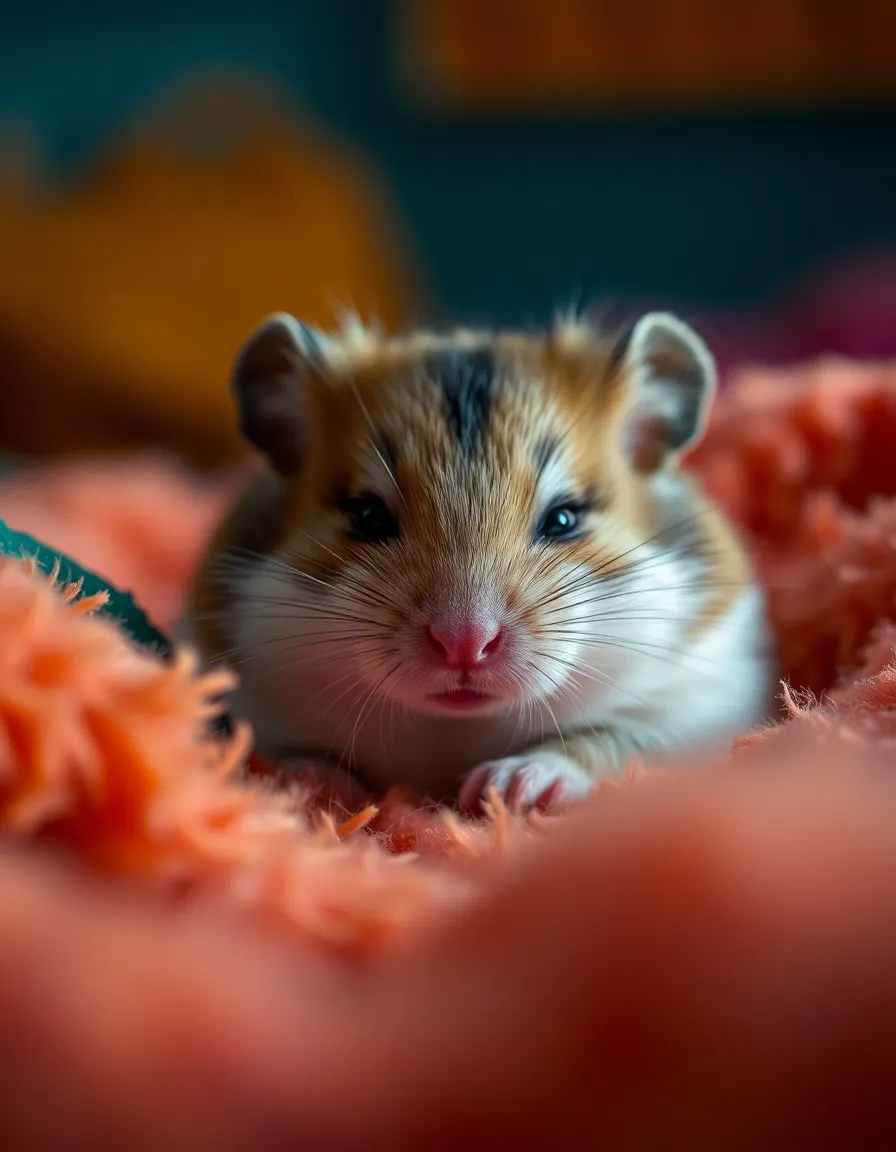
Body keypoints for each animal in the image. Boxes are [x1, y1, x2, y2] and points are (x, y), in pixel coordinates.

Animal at [185, 310, 774, 812]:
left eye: (564, 518)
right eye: (367, 516)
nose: (464, 646)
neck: (455, 729)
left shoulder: (698, 708)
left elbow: (608, 741)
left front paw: (506, 789)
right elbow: (277, 752)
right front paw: (320, 787)